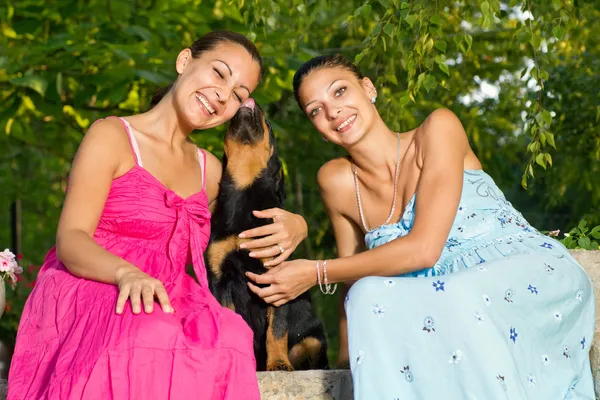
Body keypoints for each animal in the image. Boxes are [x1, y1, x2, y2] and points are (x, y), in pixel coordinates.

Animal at [205, 97, 328, 372]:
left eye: (269, 124)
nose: (250, 100)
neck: (244, 193)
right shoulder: (220, 279)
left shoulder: (276, 278)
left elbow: (277, 329)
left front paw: (279, 363)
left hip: (314, 337)